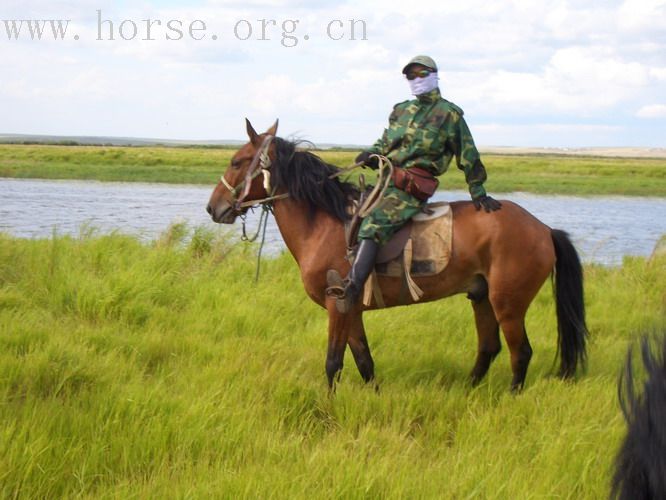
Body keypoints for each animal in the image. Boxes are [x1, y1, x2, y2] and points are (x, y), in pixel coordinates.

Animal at [208, 120, 588, 390]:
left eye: (237, 161)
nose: (214, 207)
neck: (324, 223)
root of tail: (543, 229)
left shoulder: (337, 304)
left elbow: (333, 362)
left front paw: (327, 407)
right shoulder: (352, 310)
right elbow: (364, 362)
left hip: (508, 303)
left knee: (519, 353)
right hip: (481, 297)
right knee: (488, 348)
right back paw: (467, 391)